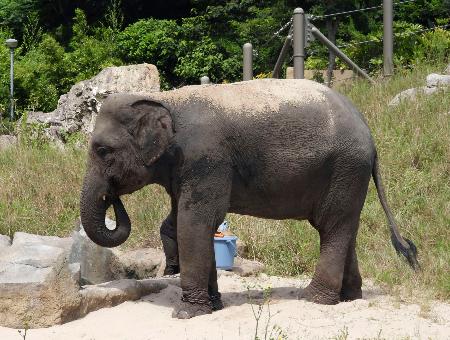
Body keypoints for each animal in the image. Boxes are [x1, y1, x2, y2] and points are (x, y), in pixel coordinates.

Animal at [80, 78, 418, 320]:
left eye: (103, 151)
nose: (112, 198)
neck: (167, 99)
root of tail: (370, 136)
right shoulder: (186, 168)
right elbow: (186, 222)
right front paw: (214, 306)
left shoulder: (206, 159)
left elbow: (195, 223)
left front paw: (188, 313)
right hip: (349, 175)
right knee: (345, 228)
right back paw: (348, 298)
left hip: (345, 168)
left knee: (332, 227)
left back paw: (314, 299)